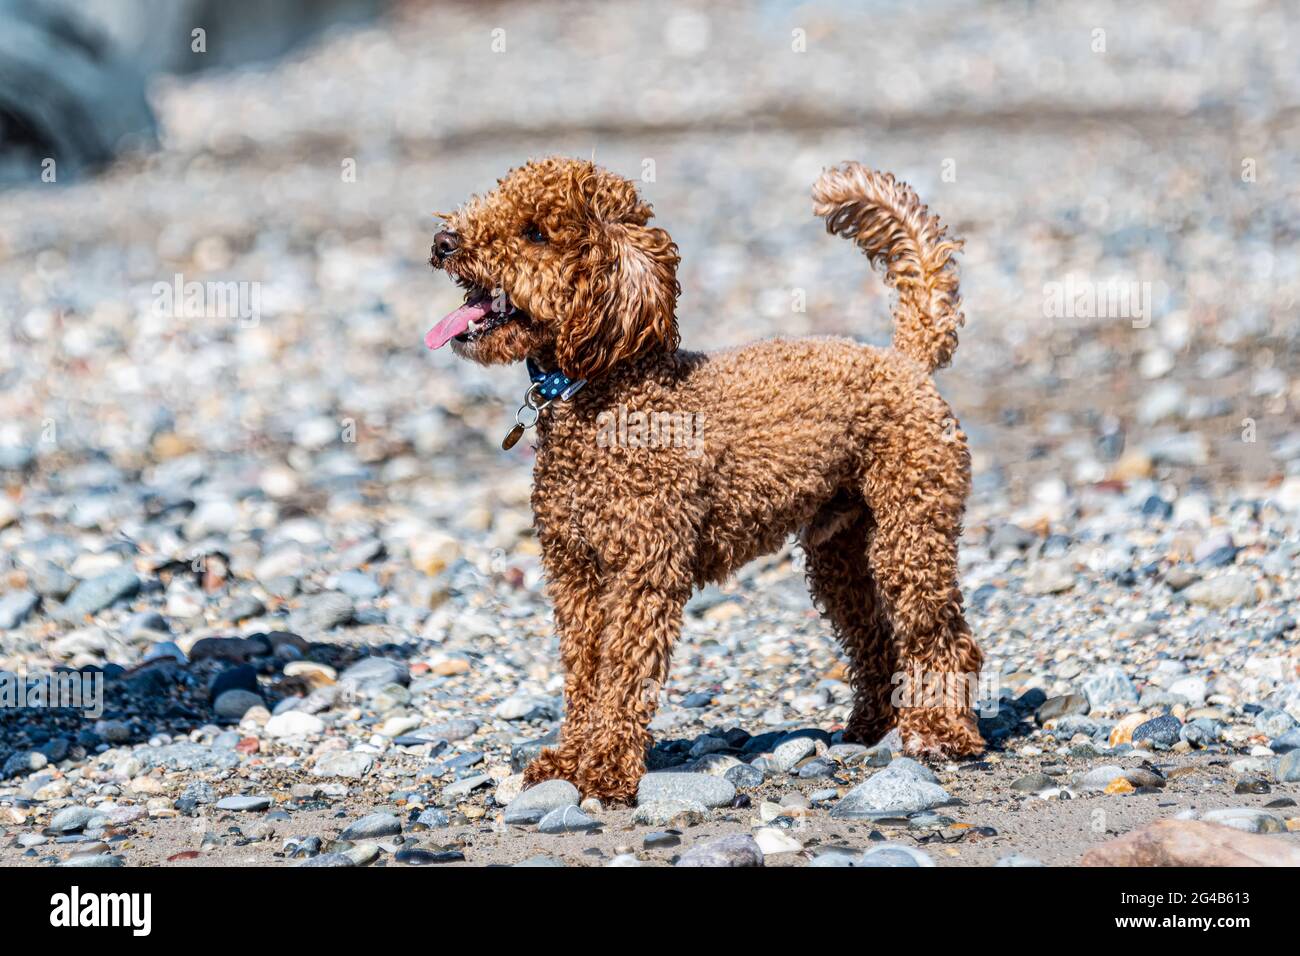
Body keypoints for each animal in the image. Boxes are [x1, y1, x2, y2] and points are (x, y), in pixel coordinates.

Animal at [426, 158, 982, 806]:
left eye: (535, 233)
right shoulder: (575, 573)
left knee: (943, 634)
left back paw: (942, 733)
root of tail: (905, 359)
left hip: (910, 527)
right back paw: (873, 724)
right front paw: (567, 760)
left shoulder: (645, 569)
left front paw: (606, 770)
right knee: (874, 632)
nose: (442, 242)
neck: (607, 388)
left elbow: (623, 672)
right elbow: (585, 671)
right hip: (839, 548)